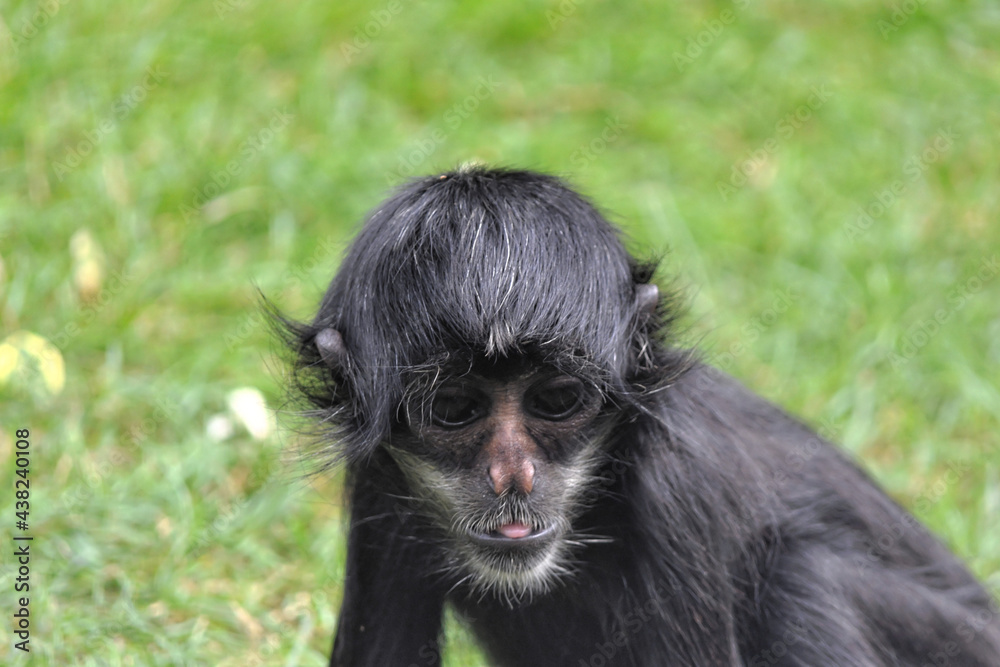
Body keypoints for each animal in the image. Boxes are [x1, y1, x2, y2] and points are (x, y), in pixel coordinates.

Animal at [275, 166, 1000, 666]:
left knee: (803, 572)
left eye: (557, 400)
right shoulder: (381, 481)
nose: (514, 475)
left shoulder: (681, 484)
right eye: (454, 408)